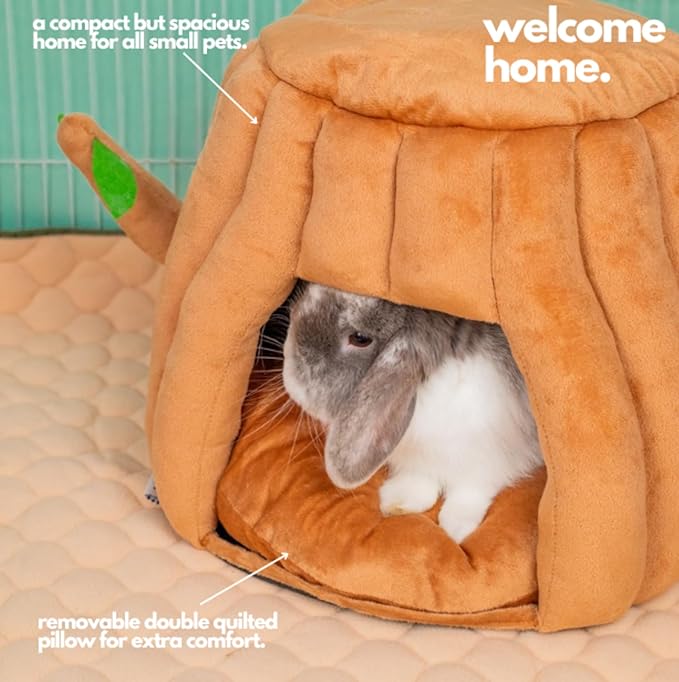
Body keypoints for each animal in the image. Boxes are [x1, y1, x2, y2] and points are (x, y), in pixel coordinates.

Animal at [282, 282, 543, 543]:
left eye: (360, 338)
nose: (288, 367)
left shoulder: (490, 456)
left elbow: (471, 489)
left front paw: (455, 527)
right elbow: (420, 480)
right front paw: (398, 500)